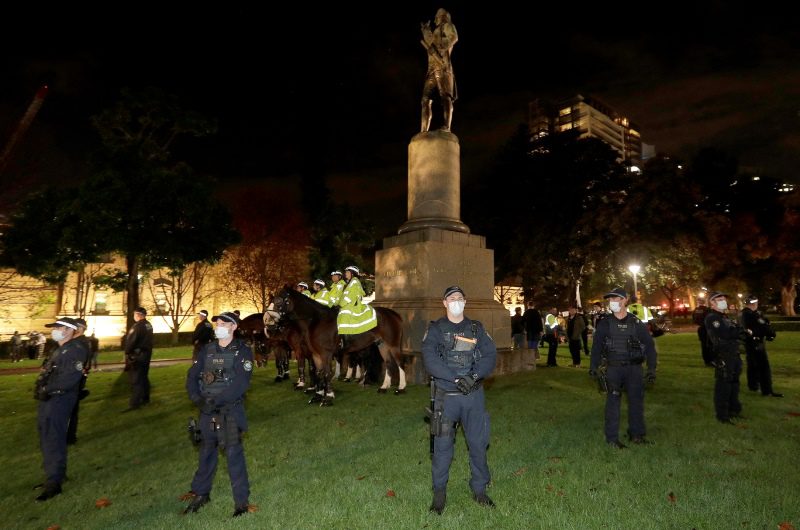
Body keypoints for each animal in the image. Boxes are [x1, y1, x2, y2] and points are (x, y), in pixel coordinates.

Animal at [274, 284, 410, 404]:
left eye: (279, 301)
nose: (272, 320)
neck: (316, 321)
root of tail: (394, 314)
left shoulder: (325, 354)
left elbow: (327, 373)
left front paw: (328, 397)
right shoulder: (316, 355)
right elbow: (319, 373)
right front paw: (318, 395)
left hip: (393, 345)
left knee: (400, 363)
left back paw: (401, 388)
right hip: (382, 345)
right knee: (388, 363)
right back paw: (384, 387)